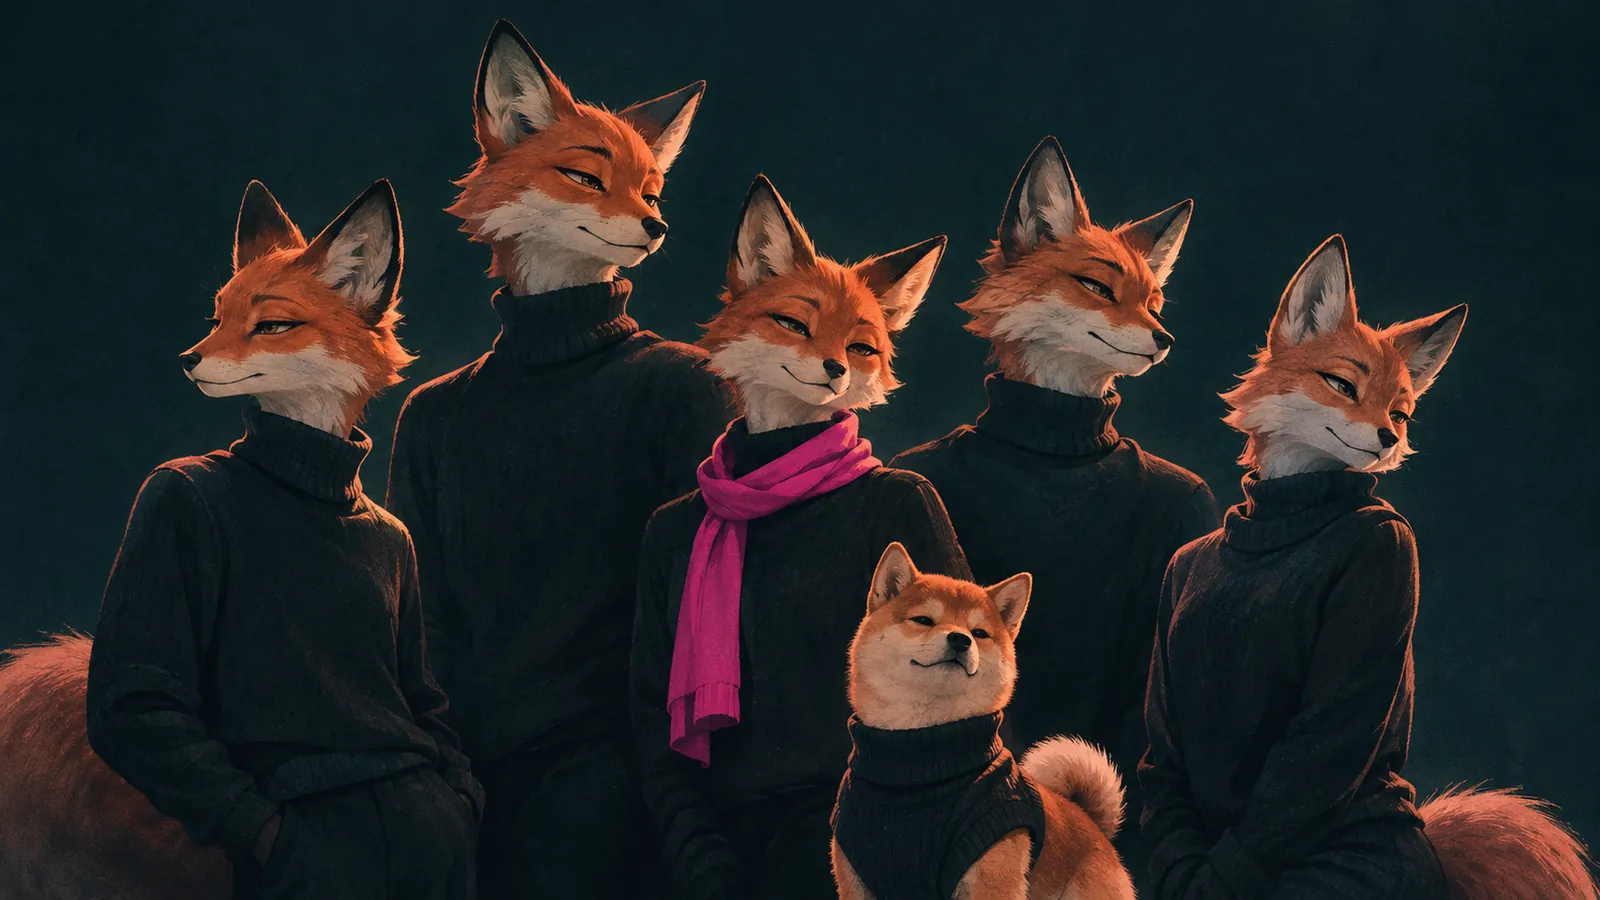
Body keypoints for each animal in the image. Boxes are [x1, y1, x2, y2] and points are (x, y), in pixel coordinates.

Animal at [832, 542, 1134, 900]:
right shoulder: (855, 878)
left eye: (979, 633)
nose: (960, 639)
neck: (918, 764)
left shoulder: (990, 875)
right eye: (923, 620)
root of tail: (1095, 828)